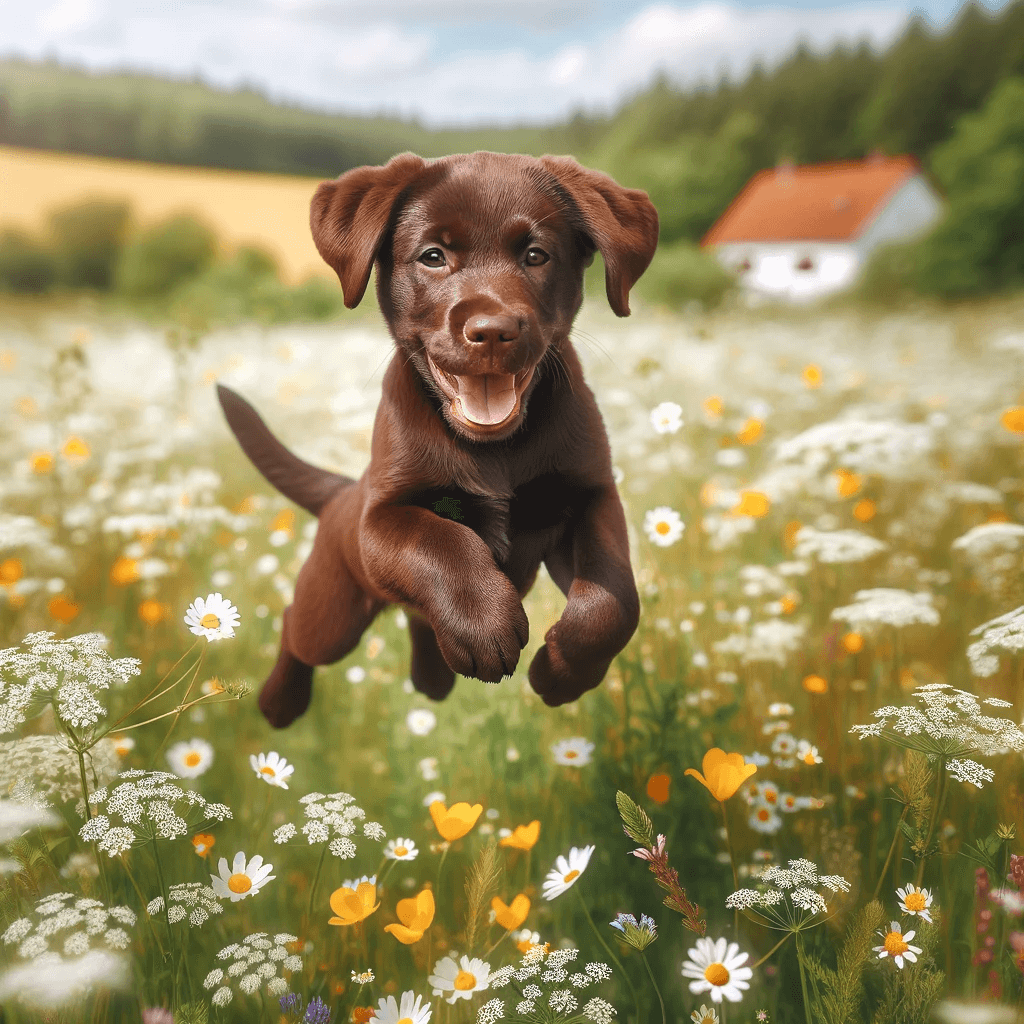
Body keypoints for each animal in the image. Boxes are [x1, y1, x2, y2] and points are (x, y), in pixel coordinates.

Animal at [220, 151, 659, 729]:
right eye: (433, 256)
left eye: (536, 255)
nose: (492, 331)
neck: (497, 449)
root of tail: (343, 493)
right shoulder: (381, 518)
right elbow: (441, 538)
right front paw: (484, 622)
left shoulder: (591, 496)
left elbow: (613, 602)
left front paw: (560, 674)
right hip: (335, 608)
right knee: (299, 626)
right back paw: (279, 702)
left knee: (418, 620)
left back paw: (433, 679)